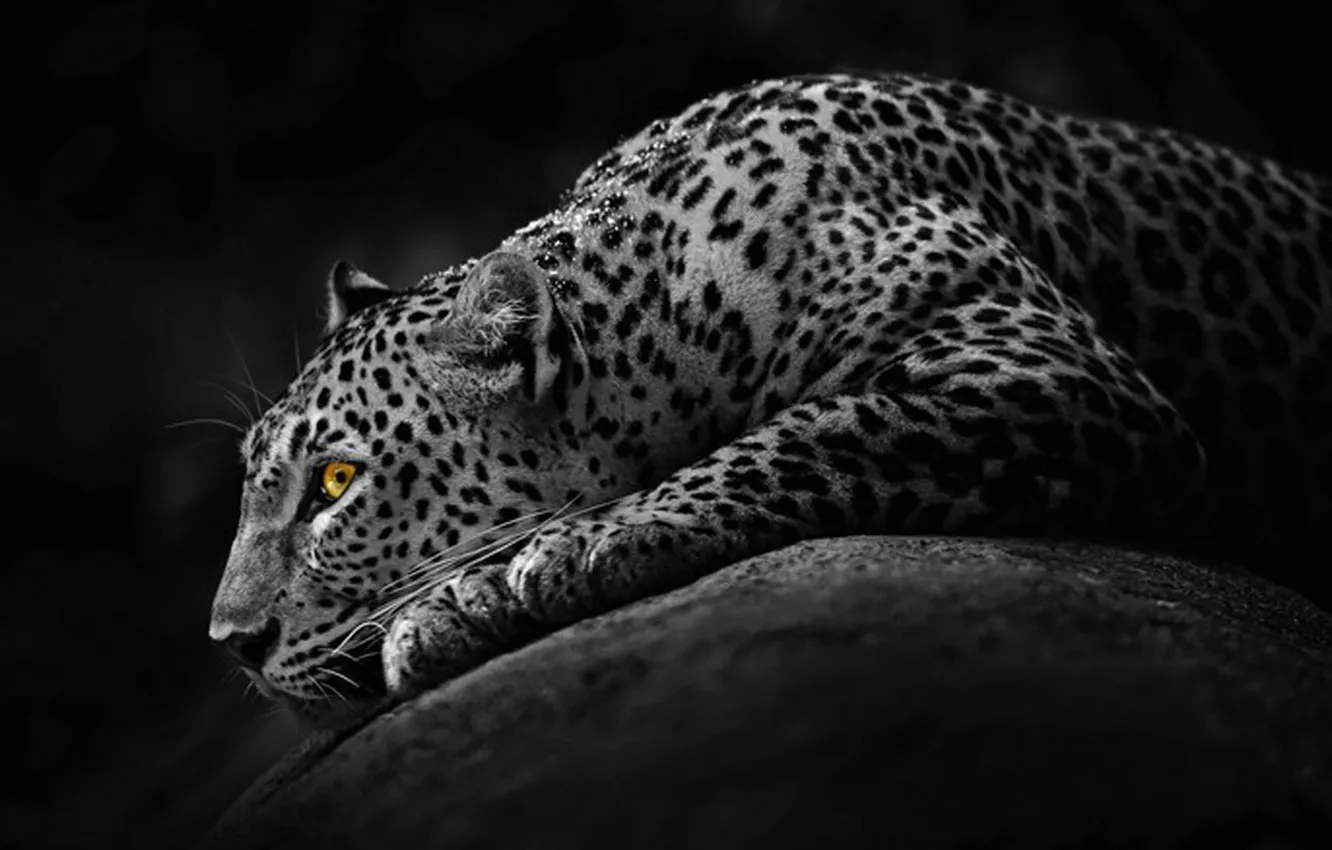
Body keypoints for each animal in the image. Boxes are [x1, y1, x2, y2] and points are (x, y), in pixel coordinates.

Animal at [209, 72, 1332, 728]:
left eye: (335, 484)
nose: (230, 644)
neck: (672, 304)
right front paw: (466, 599)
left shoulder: (1041, 366)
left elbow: (813, 430)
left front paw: (558, 556)